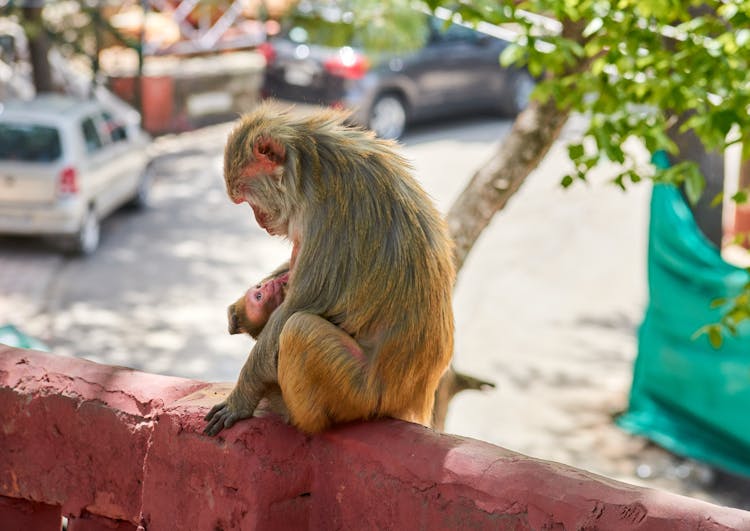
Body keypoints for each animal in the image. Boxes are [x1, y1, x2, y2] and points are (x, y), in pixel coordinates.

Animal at [203, 105, 456, 436]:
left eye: (246, 197)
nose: (259, 221)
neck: (309, 166)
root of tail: (414, 397)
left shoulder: (328, 211)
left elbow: (296, 306)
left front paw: (241, 398)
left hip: (360, 393)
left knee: (299, 329)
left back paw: (300, 419)